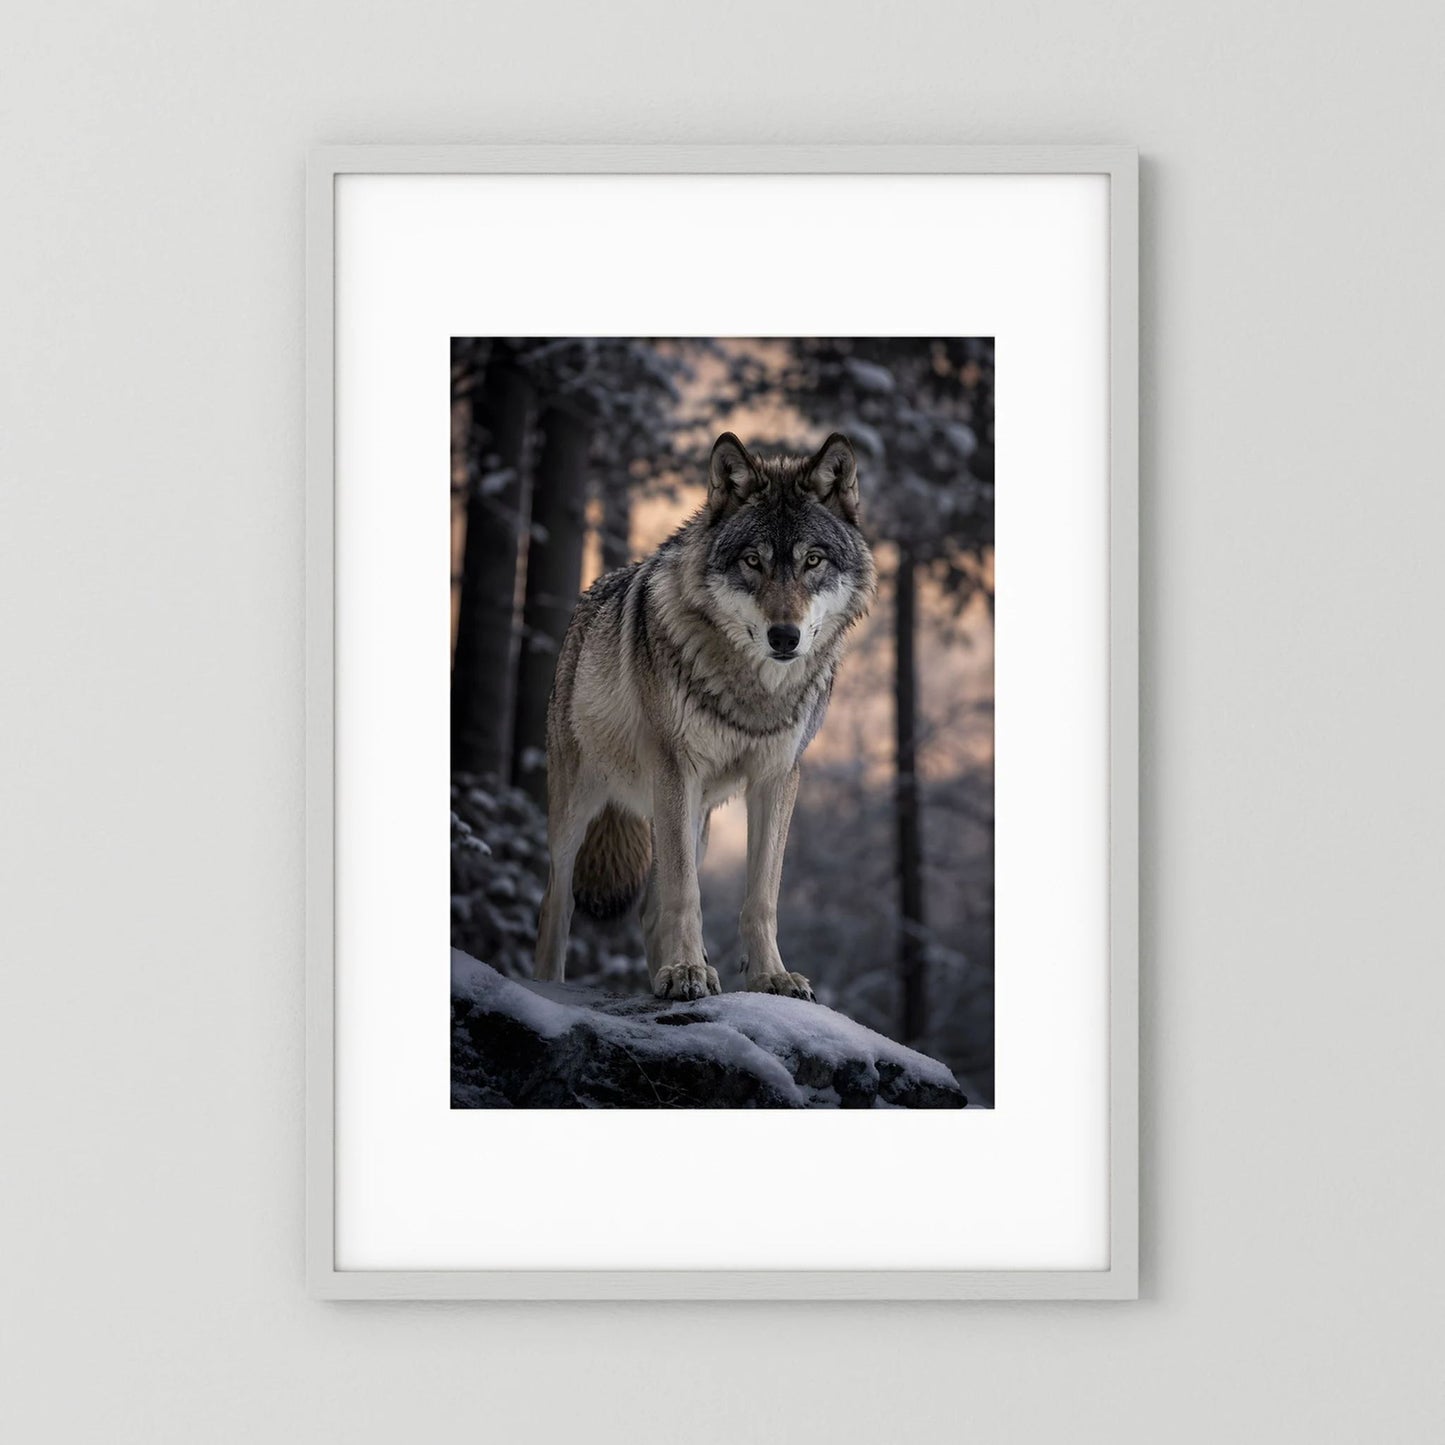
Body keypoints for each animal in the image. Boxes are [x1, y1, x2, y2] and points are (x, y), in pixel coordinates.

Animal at [534, 431, 877, 1002]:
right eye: (753, 561)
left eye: (813, 560)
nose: (784, 636)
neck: (753, 690)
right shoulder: (677, 770)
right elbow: (686, 894)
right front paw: (687, 971)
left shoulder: (777, 778)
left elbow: (761, 897)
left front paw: (771, 977)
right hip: (581, 807)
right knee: (556, 902)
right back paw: (553, 986)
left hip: (697, 820)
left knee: (649, 911)